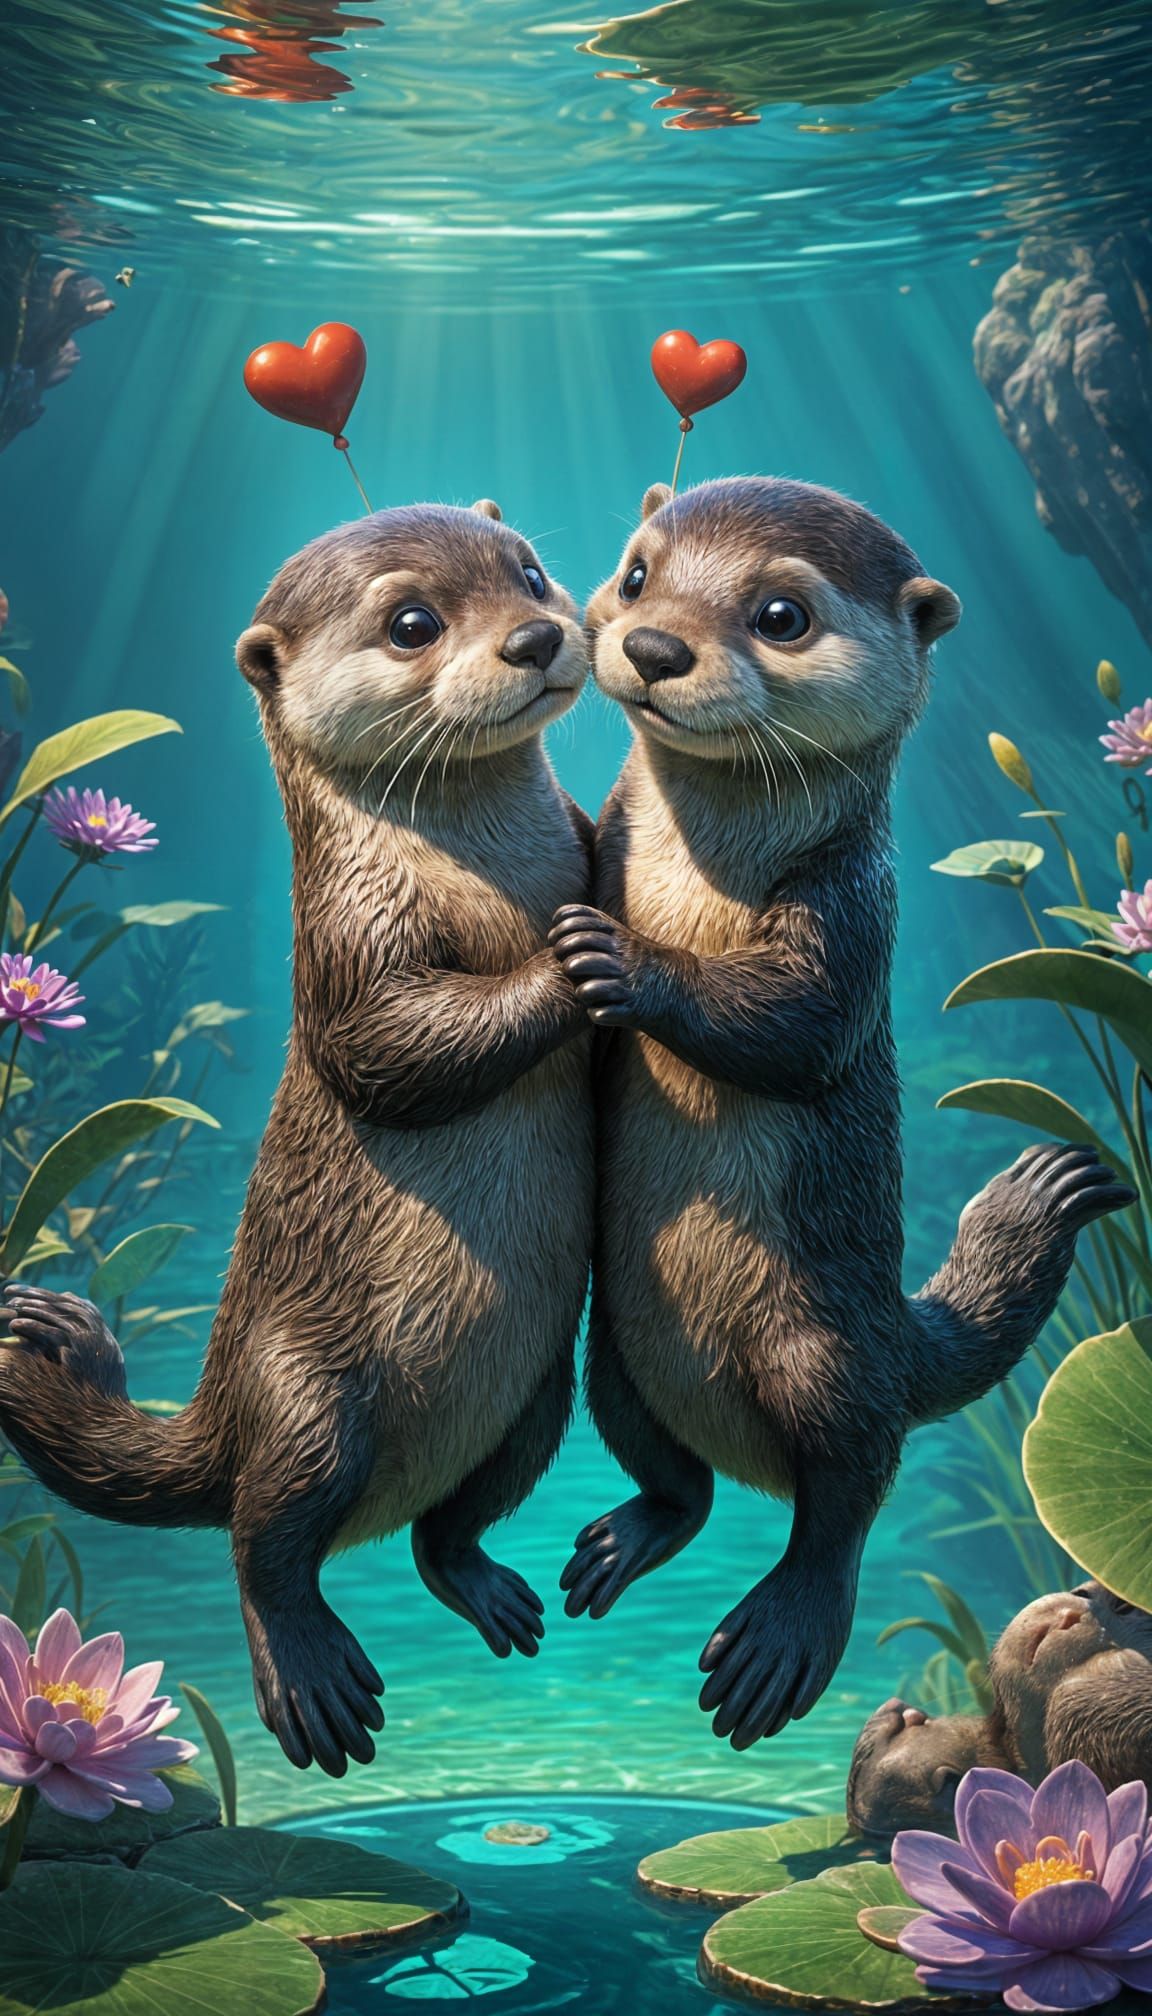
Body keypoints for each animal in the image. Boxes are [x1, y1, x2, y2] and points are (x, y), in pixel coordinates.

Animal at [0, 501, 595, 1777]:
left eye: (529, 572)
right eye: (411, 622)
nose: (535, 637)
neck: (489, 878)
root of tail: (216, 1417)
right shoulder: (347, 942)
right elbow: (397, 1050)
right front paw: (577, 955)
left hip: (534, 1400)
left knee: (442, 1527)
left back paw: (484, 1587)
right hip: (308, 1401)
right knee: (261, 1538)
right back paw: (309, 1677)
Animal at [549, 476, 1135, 1752]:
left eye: (781, 614)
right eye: (636, 573)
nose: (653, 647)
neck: (693, 878)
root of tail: (897, 1338)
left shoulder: (853, 909)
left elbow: (793, 1024)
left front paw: (619, 957)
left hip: (819, 1353)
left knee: (848, 1497)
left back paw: (784, 1640)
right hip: (618, 1356)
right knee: (683, 1481)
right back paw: (626, 1539)